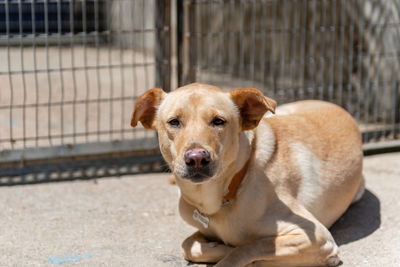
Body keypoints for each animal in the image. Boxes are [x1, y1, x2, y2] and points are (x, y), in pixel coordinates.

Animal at [132, 84, 366, 267]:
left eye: (218, 121)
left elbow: (248, 248)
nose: (197, 158)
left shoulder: (316, 236)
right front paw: (216, 246)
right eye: (174, 122)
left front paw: (232, 251)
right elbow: (187, 246)